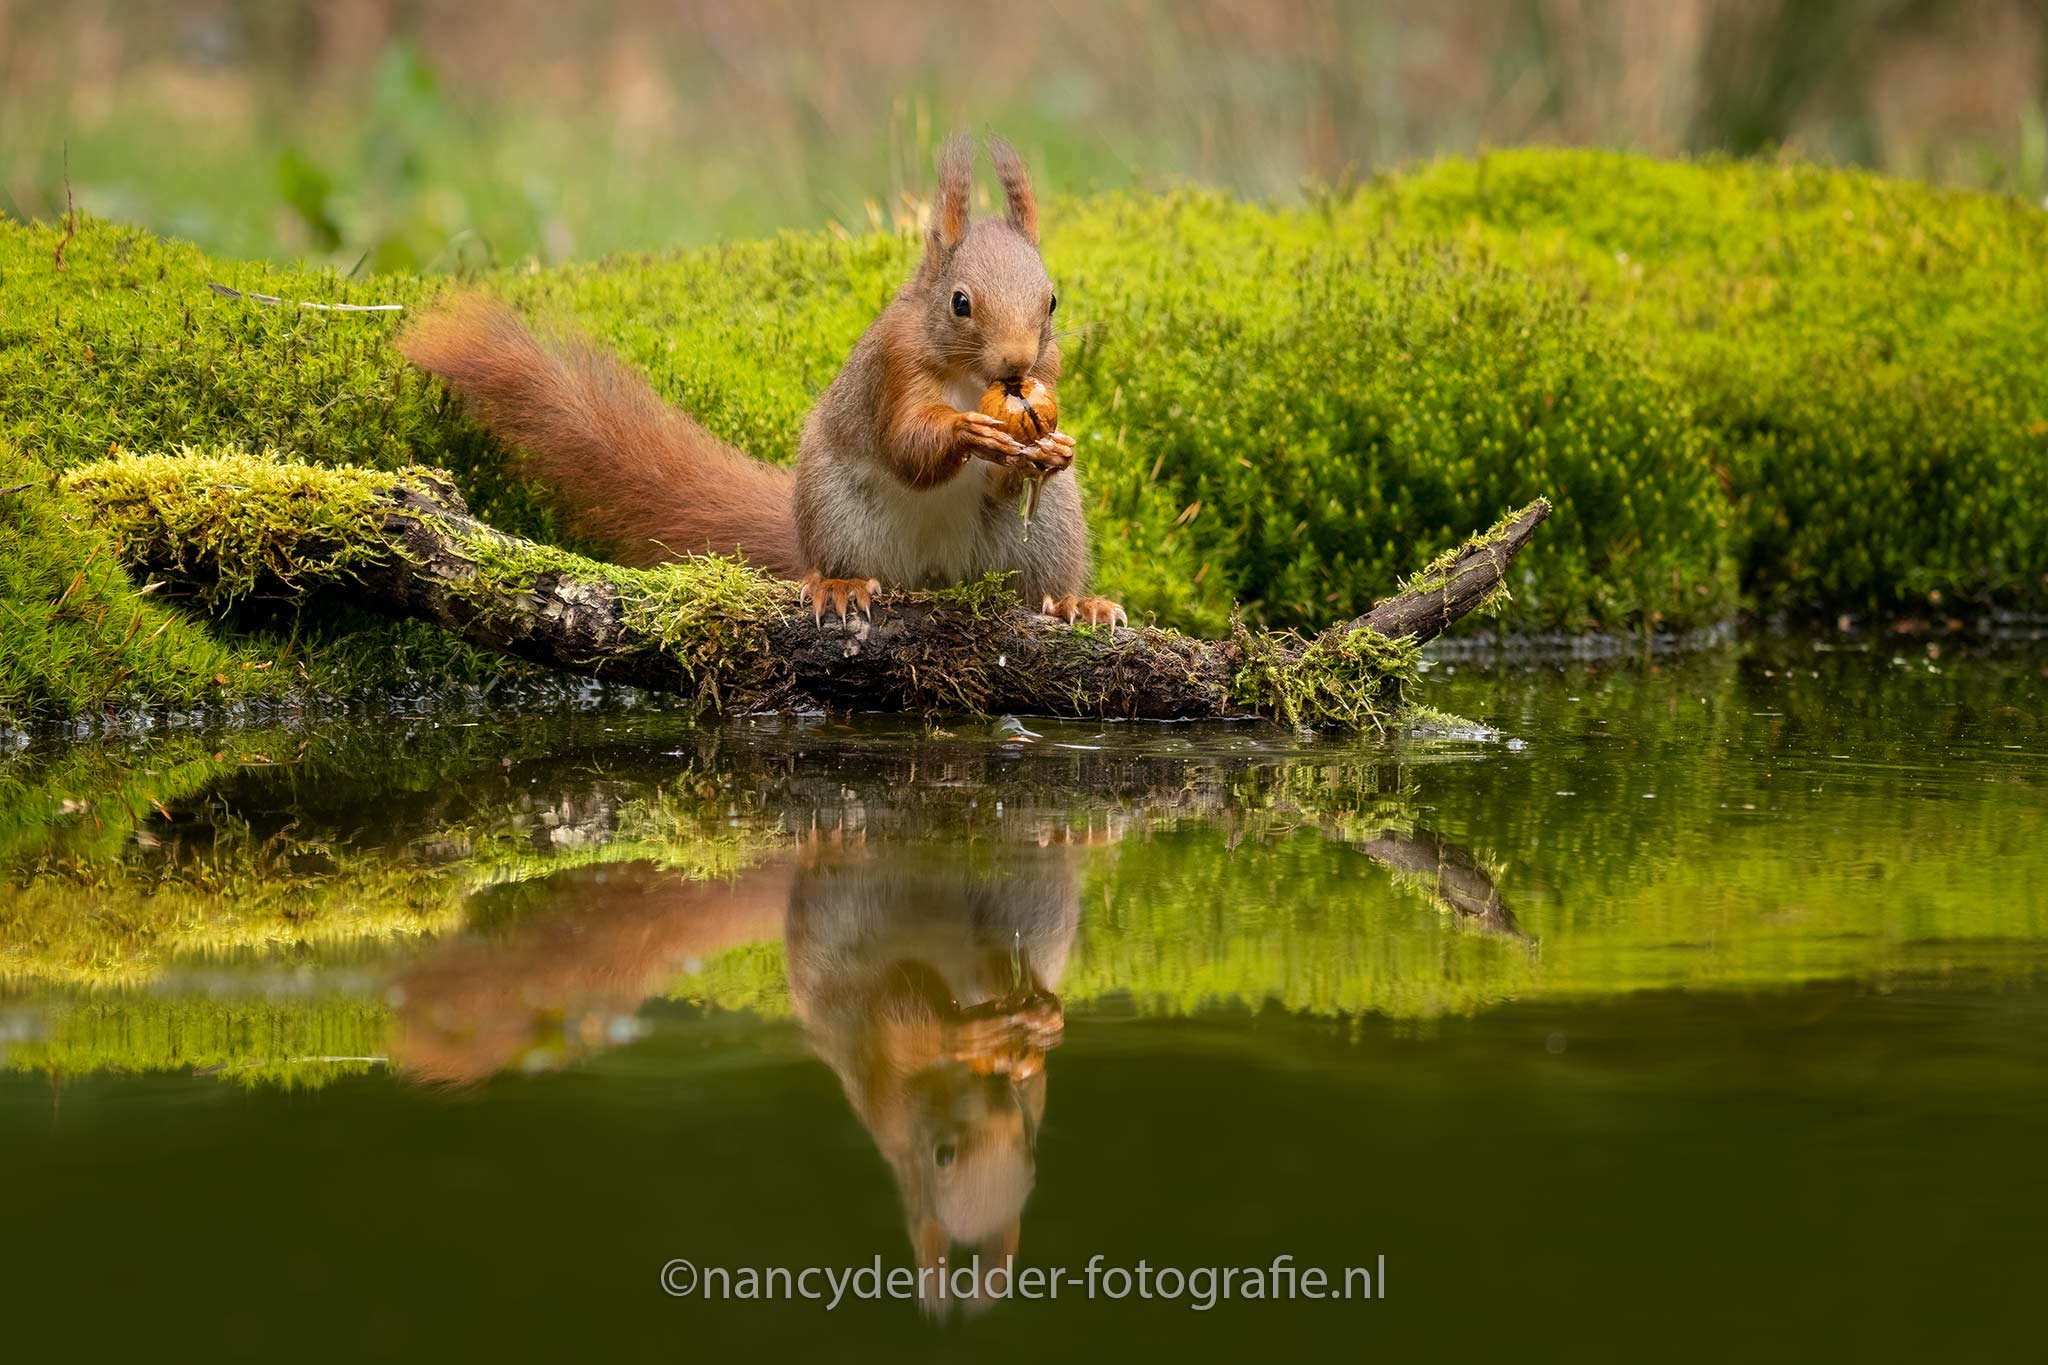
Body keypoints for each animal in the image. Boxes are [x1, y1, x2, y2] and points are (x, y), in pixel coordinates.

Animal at [397, 132, 1126, 628]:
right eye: (960, 302)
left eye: (1052, 301)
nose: (1017, 365)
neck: (971, 378)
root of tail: (936, 578)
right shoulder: (893, 370)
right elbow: (908, 448)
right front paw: (970, 431)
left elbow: (1017, 471)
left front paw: (1054, 448)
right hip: (838, 513)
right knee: (845, 563)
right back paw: (839, 587)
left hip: (1043, 533)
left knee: (1033, 586)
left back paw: (1075, 602)